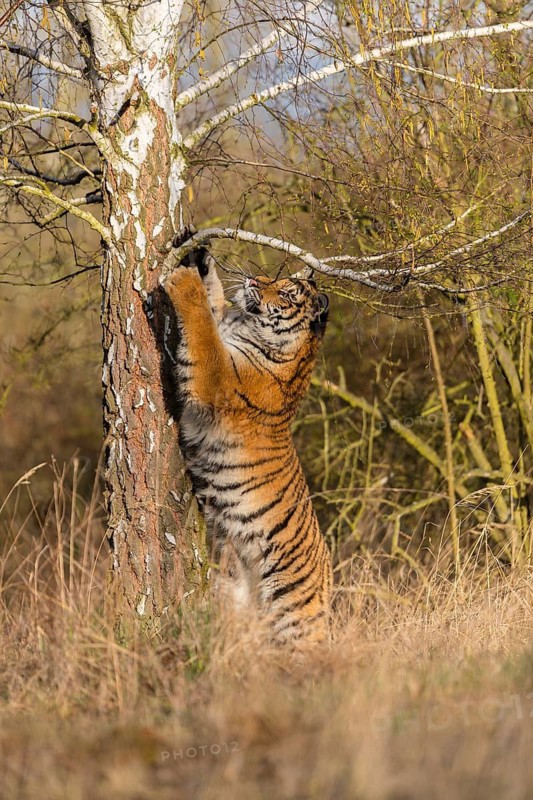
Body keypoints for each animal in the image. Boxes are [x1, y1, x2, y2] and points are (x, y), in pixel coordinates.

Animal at [164, 232, 332, 643]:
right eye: (277, 279)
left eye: (285, 292)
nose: (255, 280)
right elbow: (213, 302)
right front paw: (196, 253)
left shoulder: (217, 378)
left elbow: (202, 329)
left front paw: (183, 282)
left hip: (296, 617)